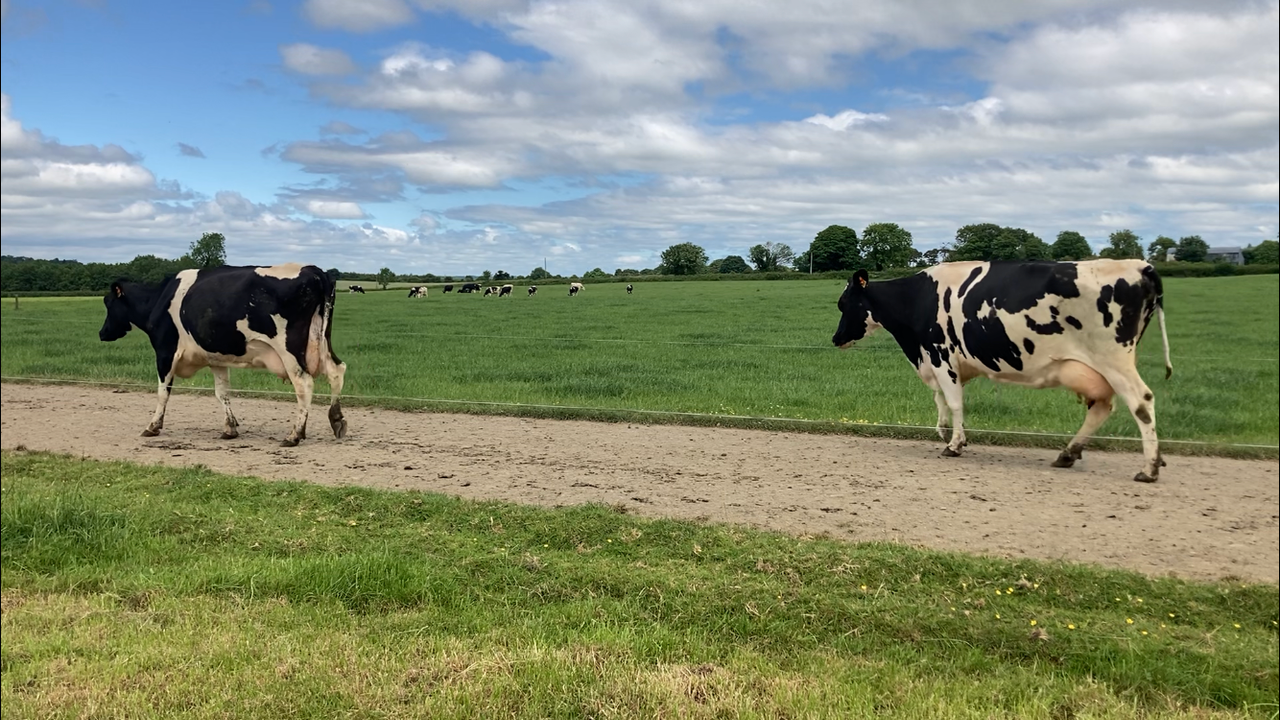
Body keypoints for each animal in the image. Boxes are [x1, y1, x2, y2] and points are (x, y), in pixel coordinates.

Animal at [99, 264, 348, 447]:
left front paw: (152, 426)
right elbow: (222, 393)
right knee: (336, 370)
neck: (159, 300)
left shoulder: (165, 351)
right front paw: (230, 428)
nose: (102, 333)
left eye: (108, 303)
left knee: (304, 384)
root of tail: (313, 270)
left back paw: (294, 435)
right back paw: (336, 420)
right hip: (322, 339)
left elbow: (163, 392)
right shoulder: (216, 358)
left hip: (290, 350)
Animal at [831, 260, 1172, 483]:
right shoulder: (939, 360)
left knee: (1142, 402)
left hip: (1114, 358)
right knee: (1102, 407)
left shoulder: (941, 355)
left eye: (843, 303)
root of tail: (1141, 266)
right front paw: (944, 431)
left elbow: (954, 401)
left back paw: (1149, 468)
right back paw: (1068, 454)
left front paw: (954, 444)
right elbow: (942, 401)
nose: (835, 338)